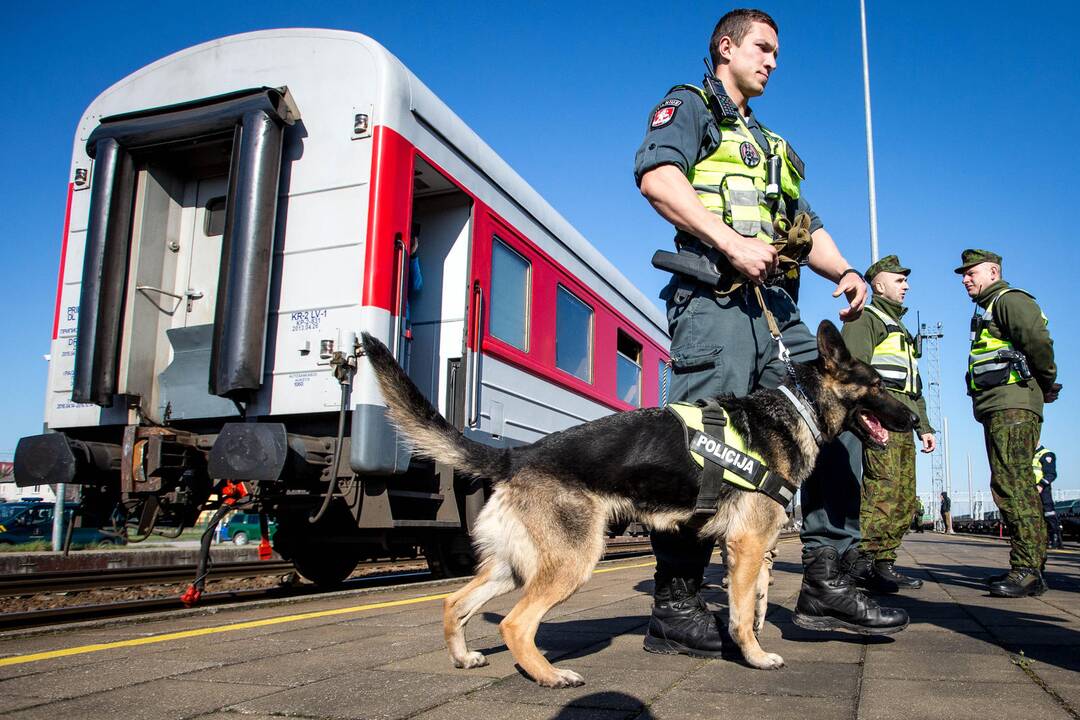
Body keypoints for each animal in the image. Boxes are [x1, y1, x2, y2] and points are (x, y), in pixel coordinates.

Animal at [360, 321, 911, 686]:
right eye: (879, 386)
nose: (915, 420)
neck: (797, 408)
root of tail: (517, 454)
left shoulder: (753, 549)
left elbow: (754, 600)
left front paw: (755, 636)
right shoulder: (748, 544)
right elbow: (738, 612)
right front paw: (754, 657)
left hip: (513, 566)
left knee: (454, 602)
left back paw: (464, 657)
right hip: (572, 561)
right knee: (517, 624)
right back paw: (550, 675)